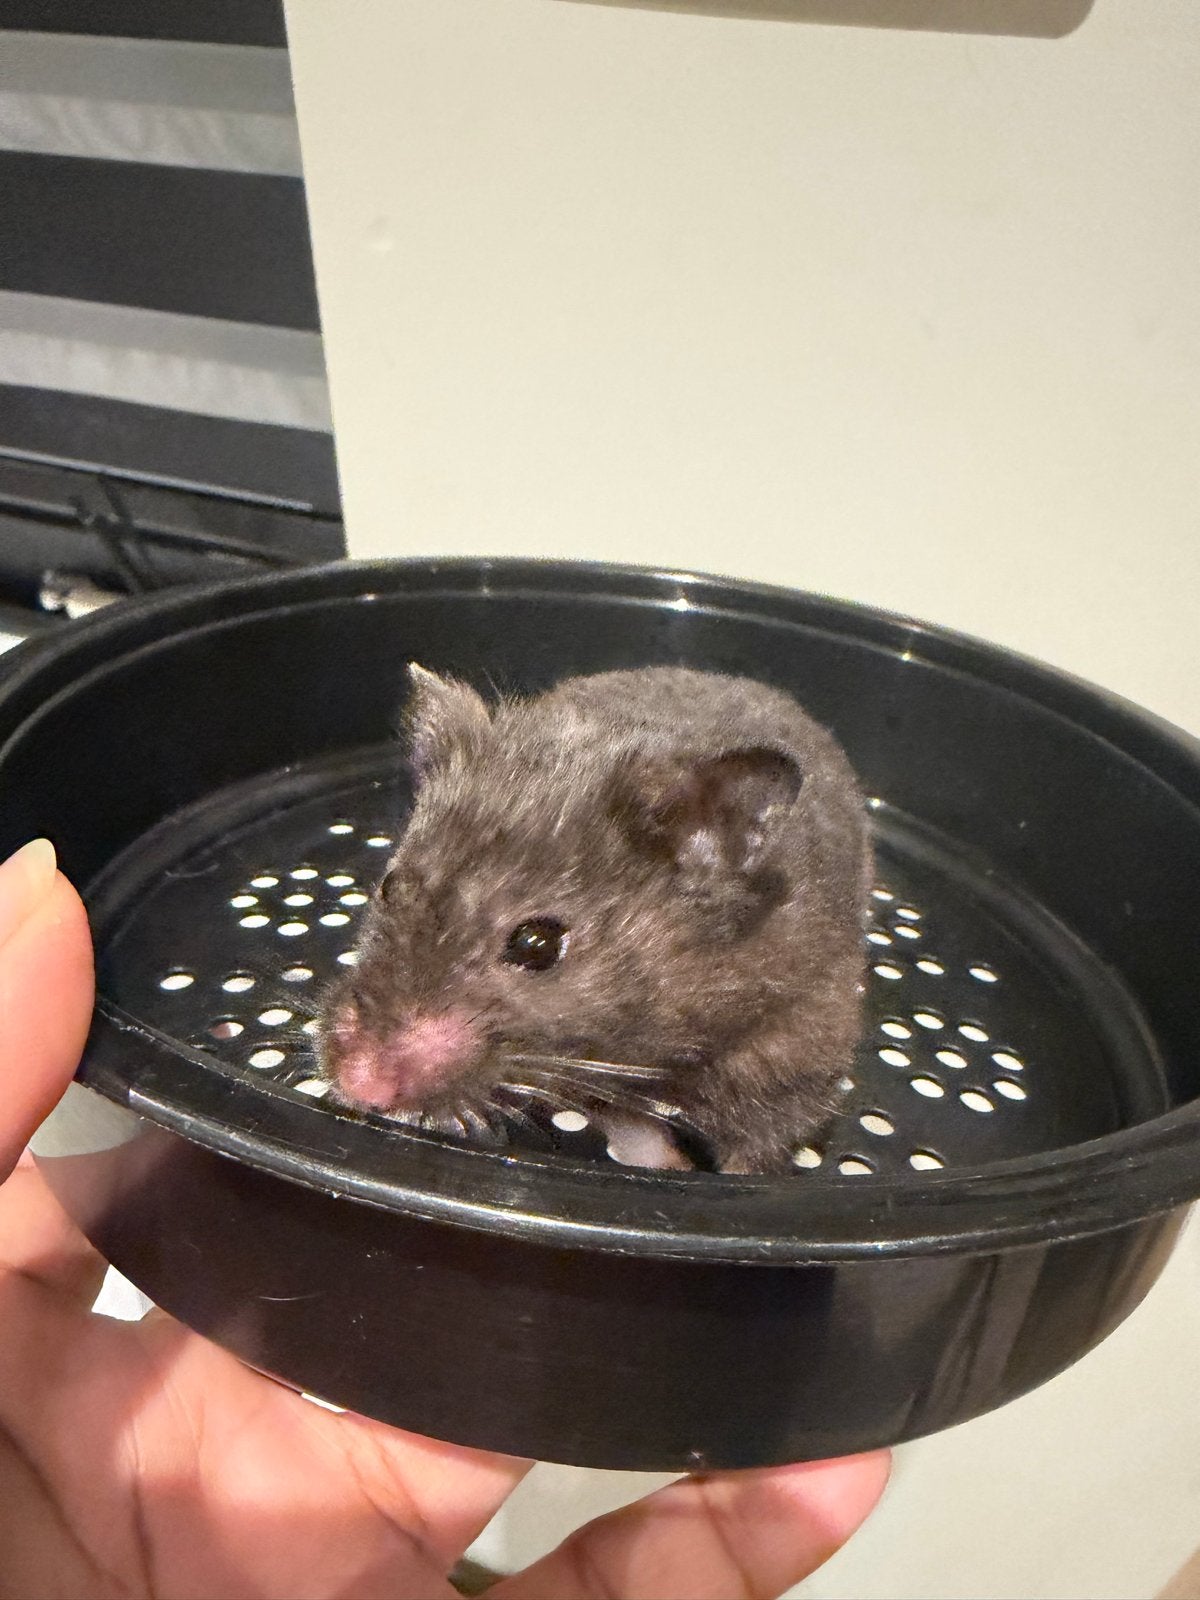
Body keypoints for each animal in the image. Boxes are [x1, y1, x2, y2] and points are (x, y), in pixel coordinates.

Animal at [318, 663, 872, 1174]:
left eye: (537, 944)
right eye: (390, 885)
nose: (357, 1084)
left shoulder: (794, 1054)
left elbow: (758, 1151)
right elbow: (628, 1124)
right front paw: (668, 1163)